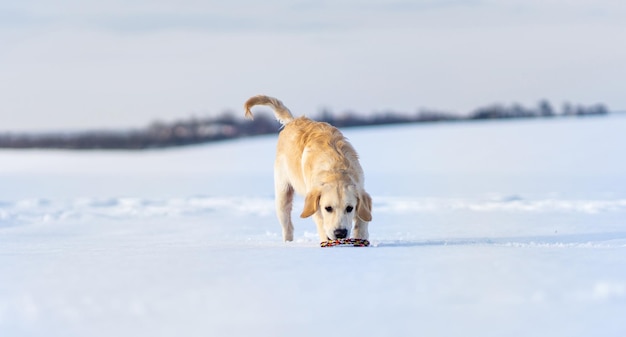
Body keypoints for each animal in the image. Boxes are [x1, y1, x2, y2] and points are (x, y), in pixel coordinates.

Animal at [244, 94, 370, 242]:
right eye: (328, 208)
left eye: (349, 208)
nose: (340, 233)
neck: (335, 168)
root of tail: (292, 121)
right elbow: (321, 225)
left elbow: (362, 220)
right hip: (282, 196)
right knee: (287, 226)